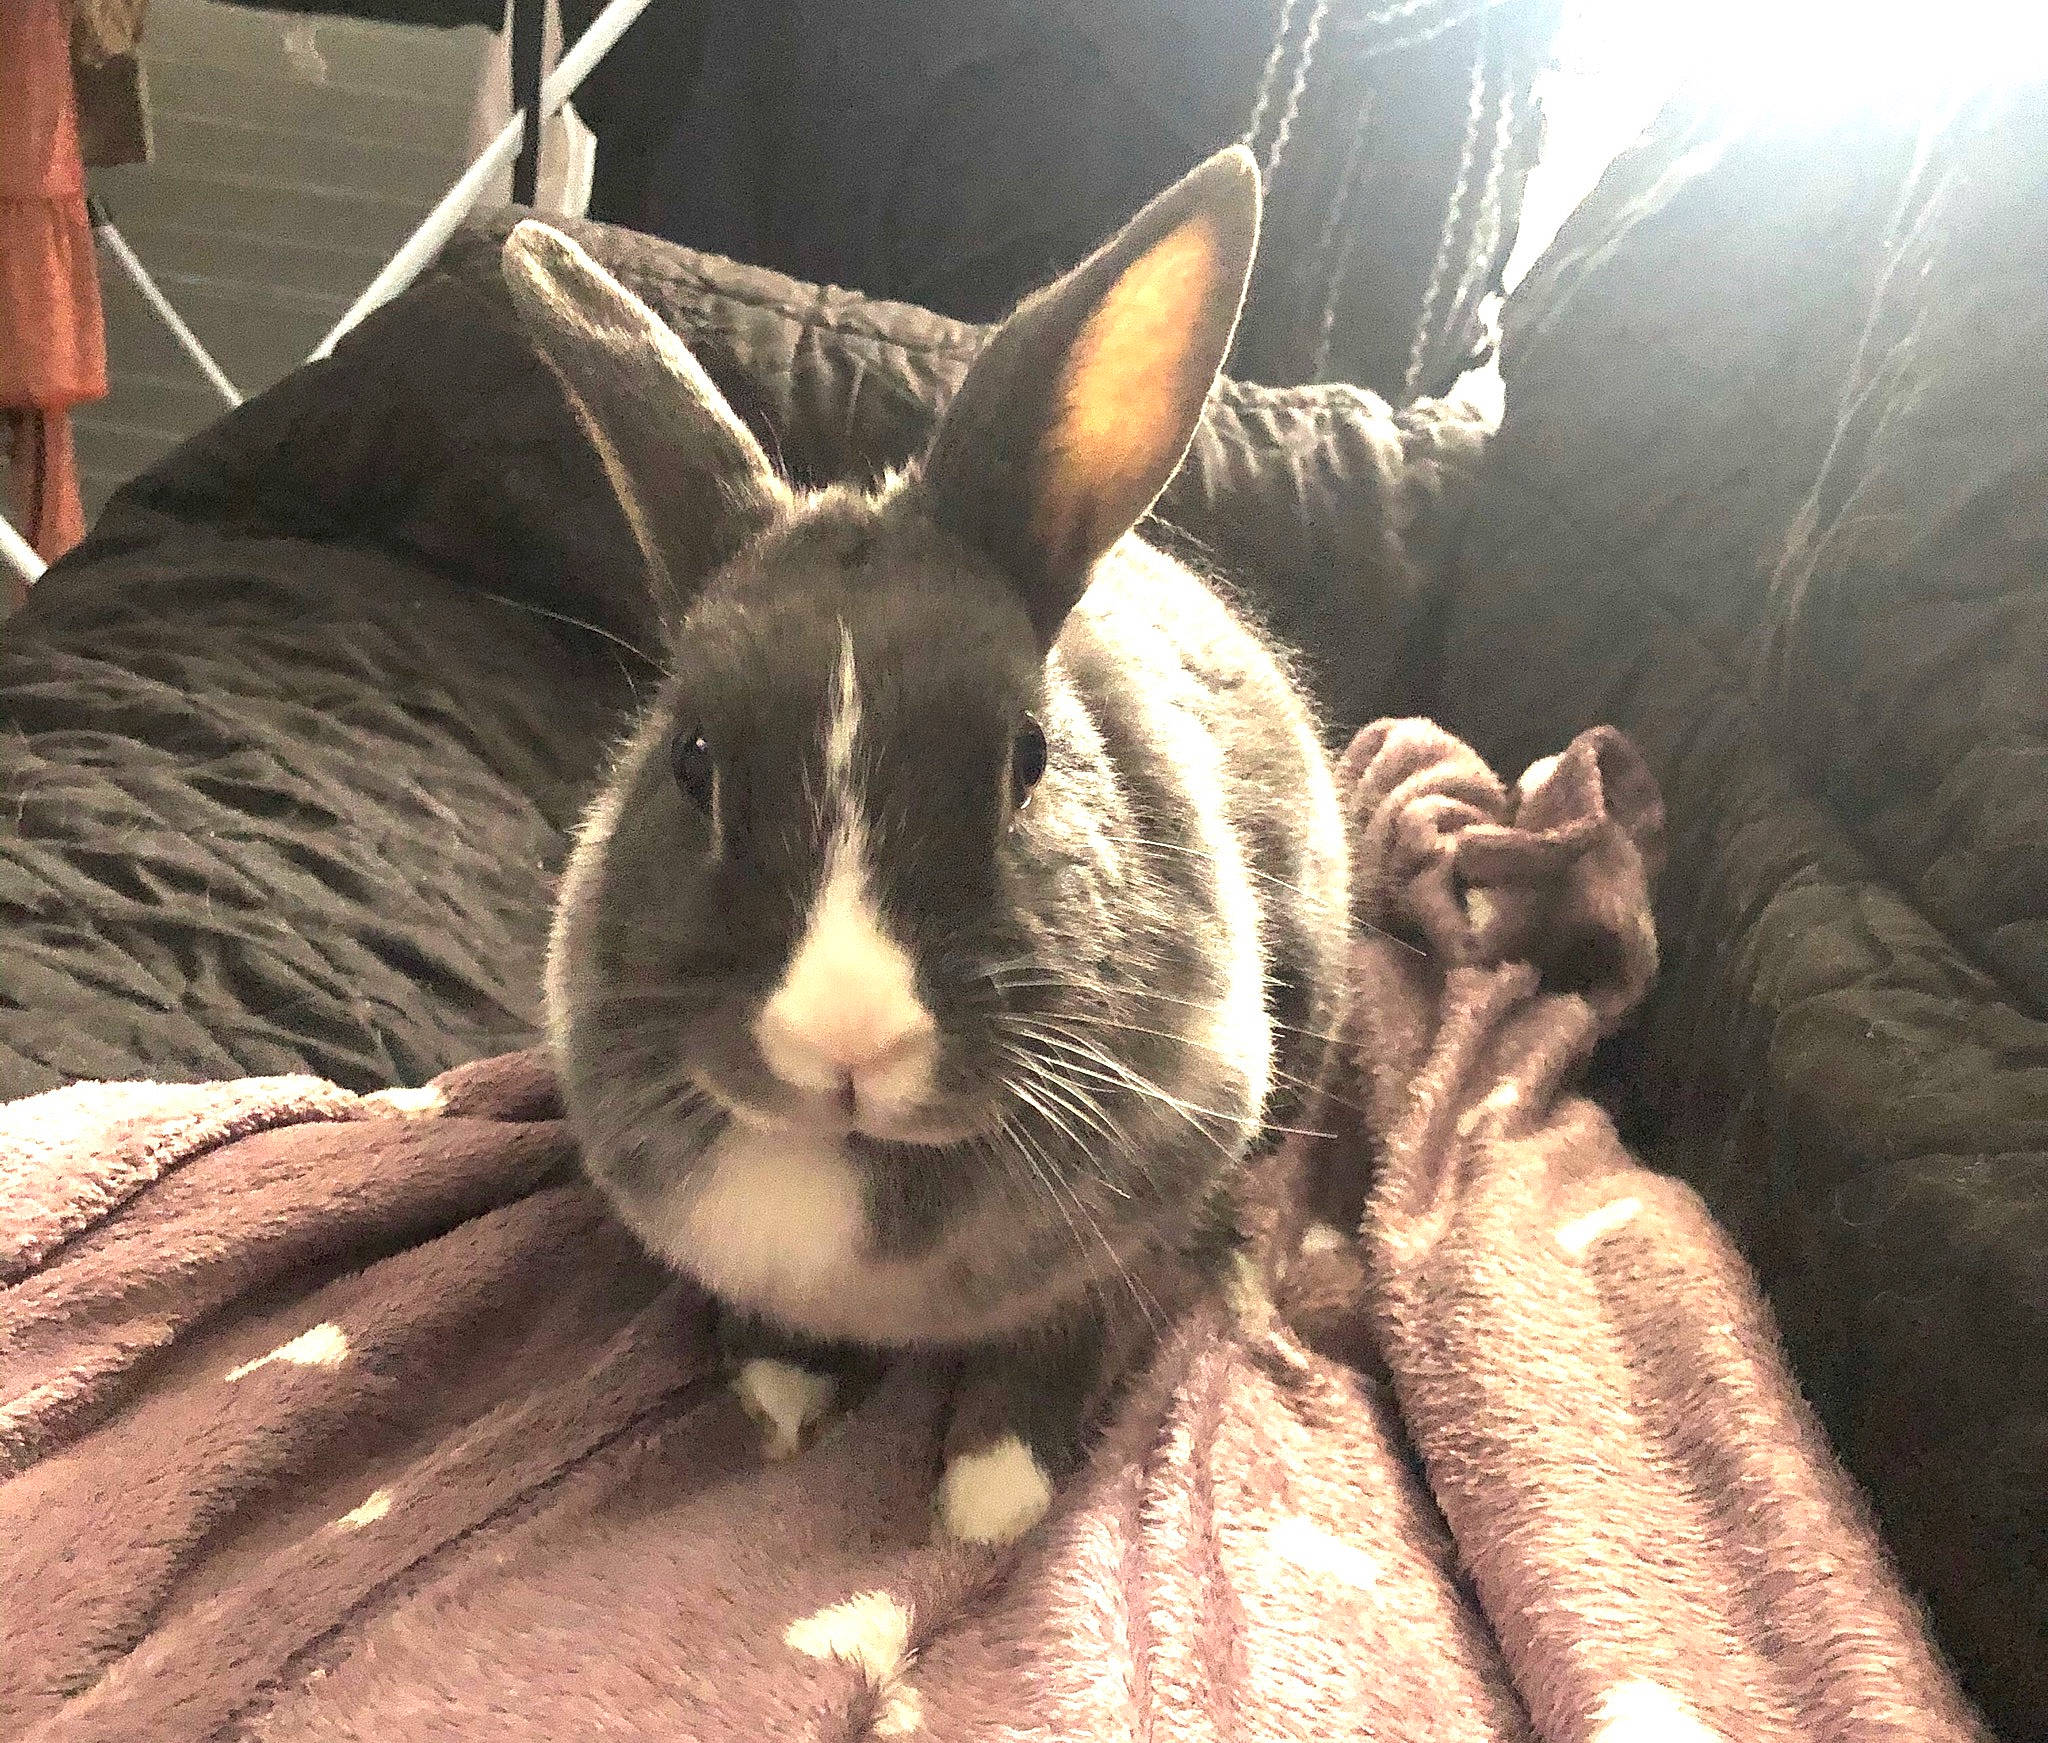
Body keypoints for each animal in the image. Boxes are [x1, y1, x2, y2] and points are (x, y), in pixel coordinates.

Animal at [505, 143, 1350, 1547]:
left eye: (1028, 758)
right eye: (690, 759)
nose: (846, 1040)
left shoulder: (1126, 1223)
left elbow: (1054, 1347)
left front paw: (990, 1502)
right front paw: (781, 1403)